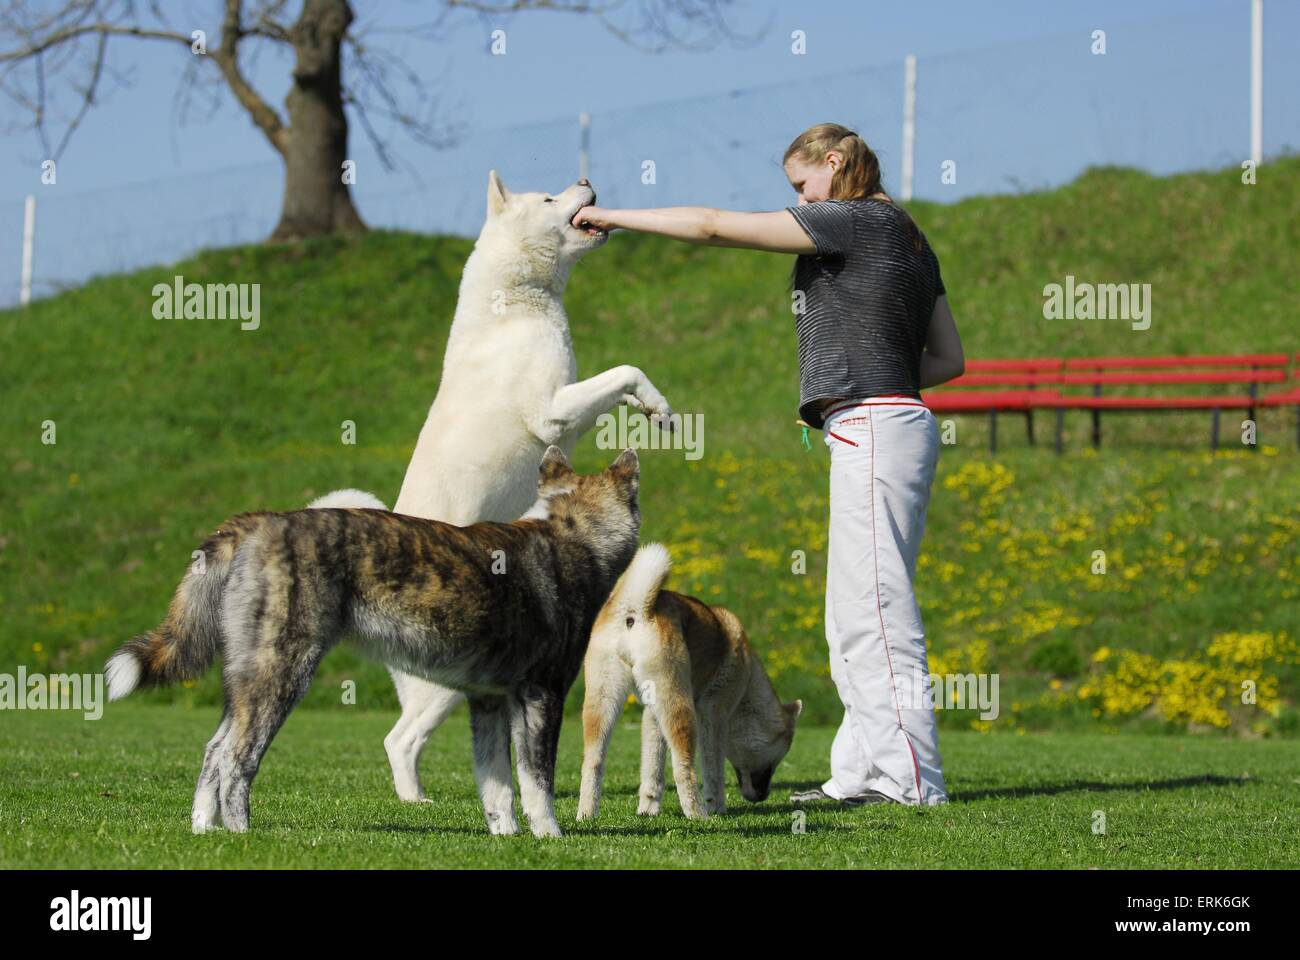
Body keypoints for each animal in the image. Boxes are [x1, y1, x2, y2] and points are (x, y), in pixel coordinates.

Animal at [315, 171, 676, 832]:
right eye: (550, 199)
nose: (586, 179)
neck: (519, 299)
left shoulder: (570, 414)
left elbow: (620, 385)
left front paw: (651, 409)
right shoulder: (555, 408)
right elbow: (625, 369)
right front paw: (657, 405)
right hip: (443, 686)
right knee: (399, 739)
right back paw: (416, 801)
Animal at [579, 541, 800, 816]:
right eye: (781, 755)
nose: (764, 795)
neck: (747, 680)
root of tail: (635, 609)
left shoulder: (652, 716)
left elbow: (652, 771)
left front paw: (648, 810)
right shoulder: (715, 714)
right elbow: (713, 770)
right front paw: (717, 806)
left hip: (604, 701)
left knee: (593, 761)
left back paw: (586, 814)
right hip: (680, 706)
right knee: (683, 766)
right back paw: (698, 814)